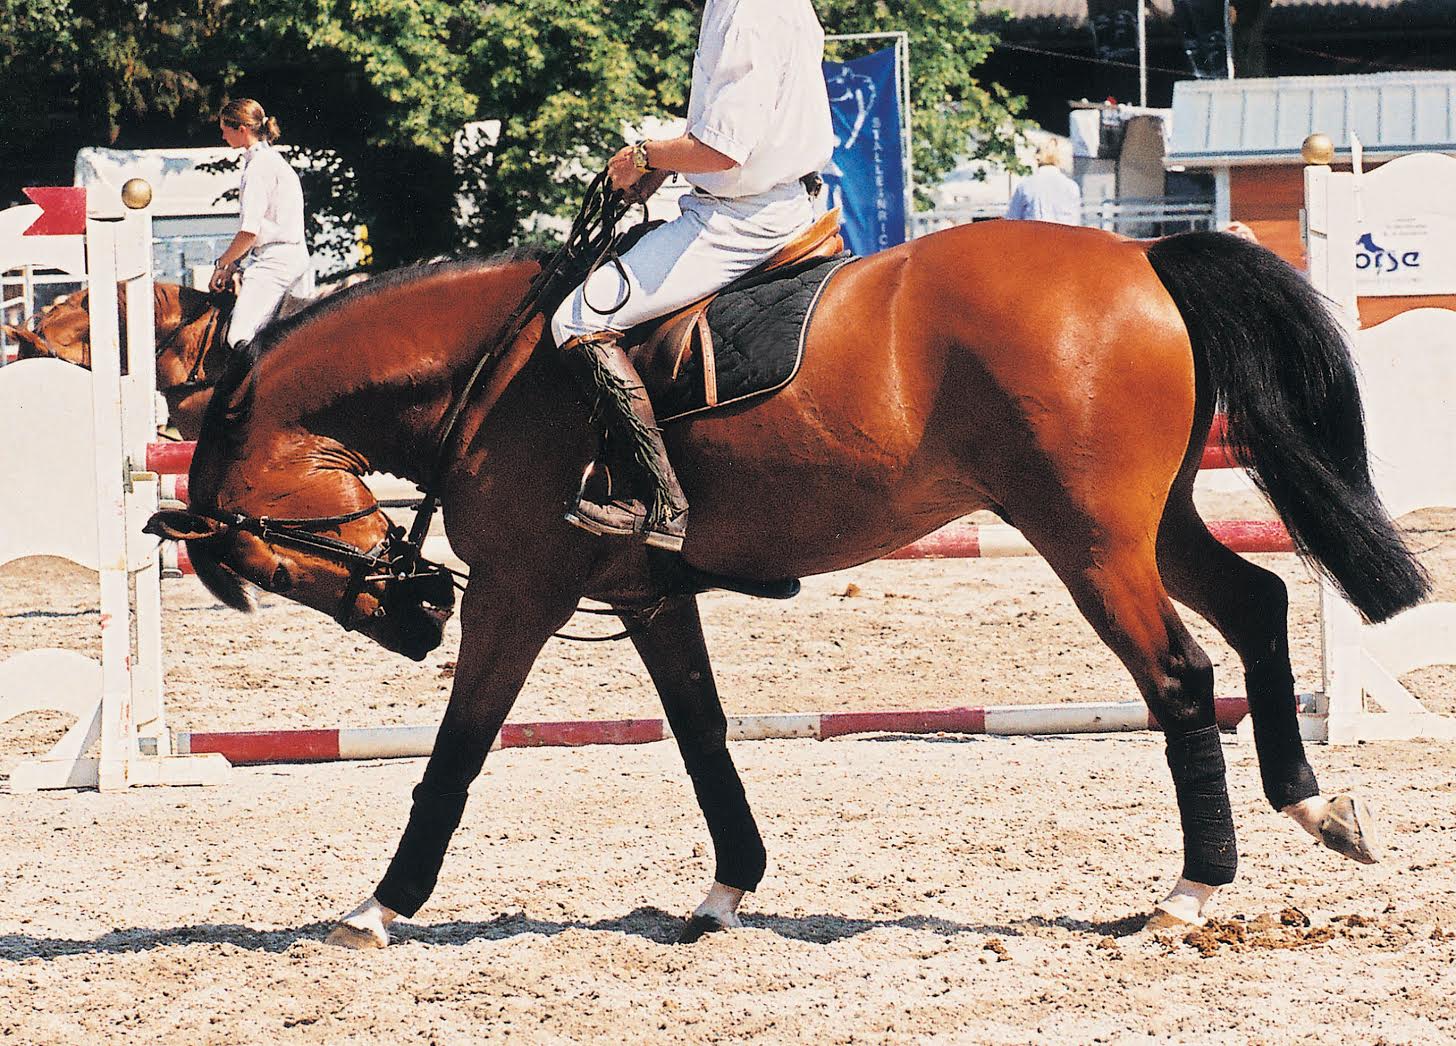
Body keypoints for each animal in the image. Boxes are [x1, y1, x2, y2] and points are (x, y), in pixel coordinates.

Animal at [145, 219, 1429, 948]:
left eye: (273, 559)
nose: (414, 618)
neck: (493, 373)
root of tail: (1138, 254)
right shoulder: (649, 596)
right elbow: (703, 737)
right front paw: (723, 894)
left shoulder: (520, 592)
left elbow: (456, 755)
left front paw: (379, 906)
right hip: (1145, 522)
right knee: (1257, 607)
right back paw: (1314, 804)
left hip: (1088, 540)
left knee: (1179, 676)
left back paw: (1191, 889)